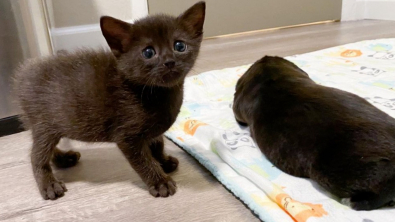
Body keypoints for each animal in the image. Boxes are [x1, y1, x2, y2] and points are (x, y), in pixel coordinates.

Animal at [13, 1, 206, 199]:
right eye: (148, 52)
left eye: (179, 46)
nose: (169, 61)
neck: (158, 94)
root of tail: (23, 74)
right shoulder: (127, 136)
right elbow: (144, 161)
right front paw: (160, 181)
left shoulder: (152, 131)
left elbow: (158, 143)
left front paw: (164, 161)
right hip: (44, 125)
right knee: (36, 155)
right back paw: (49, 184)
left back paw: (63, 158)